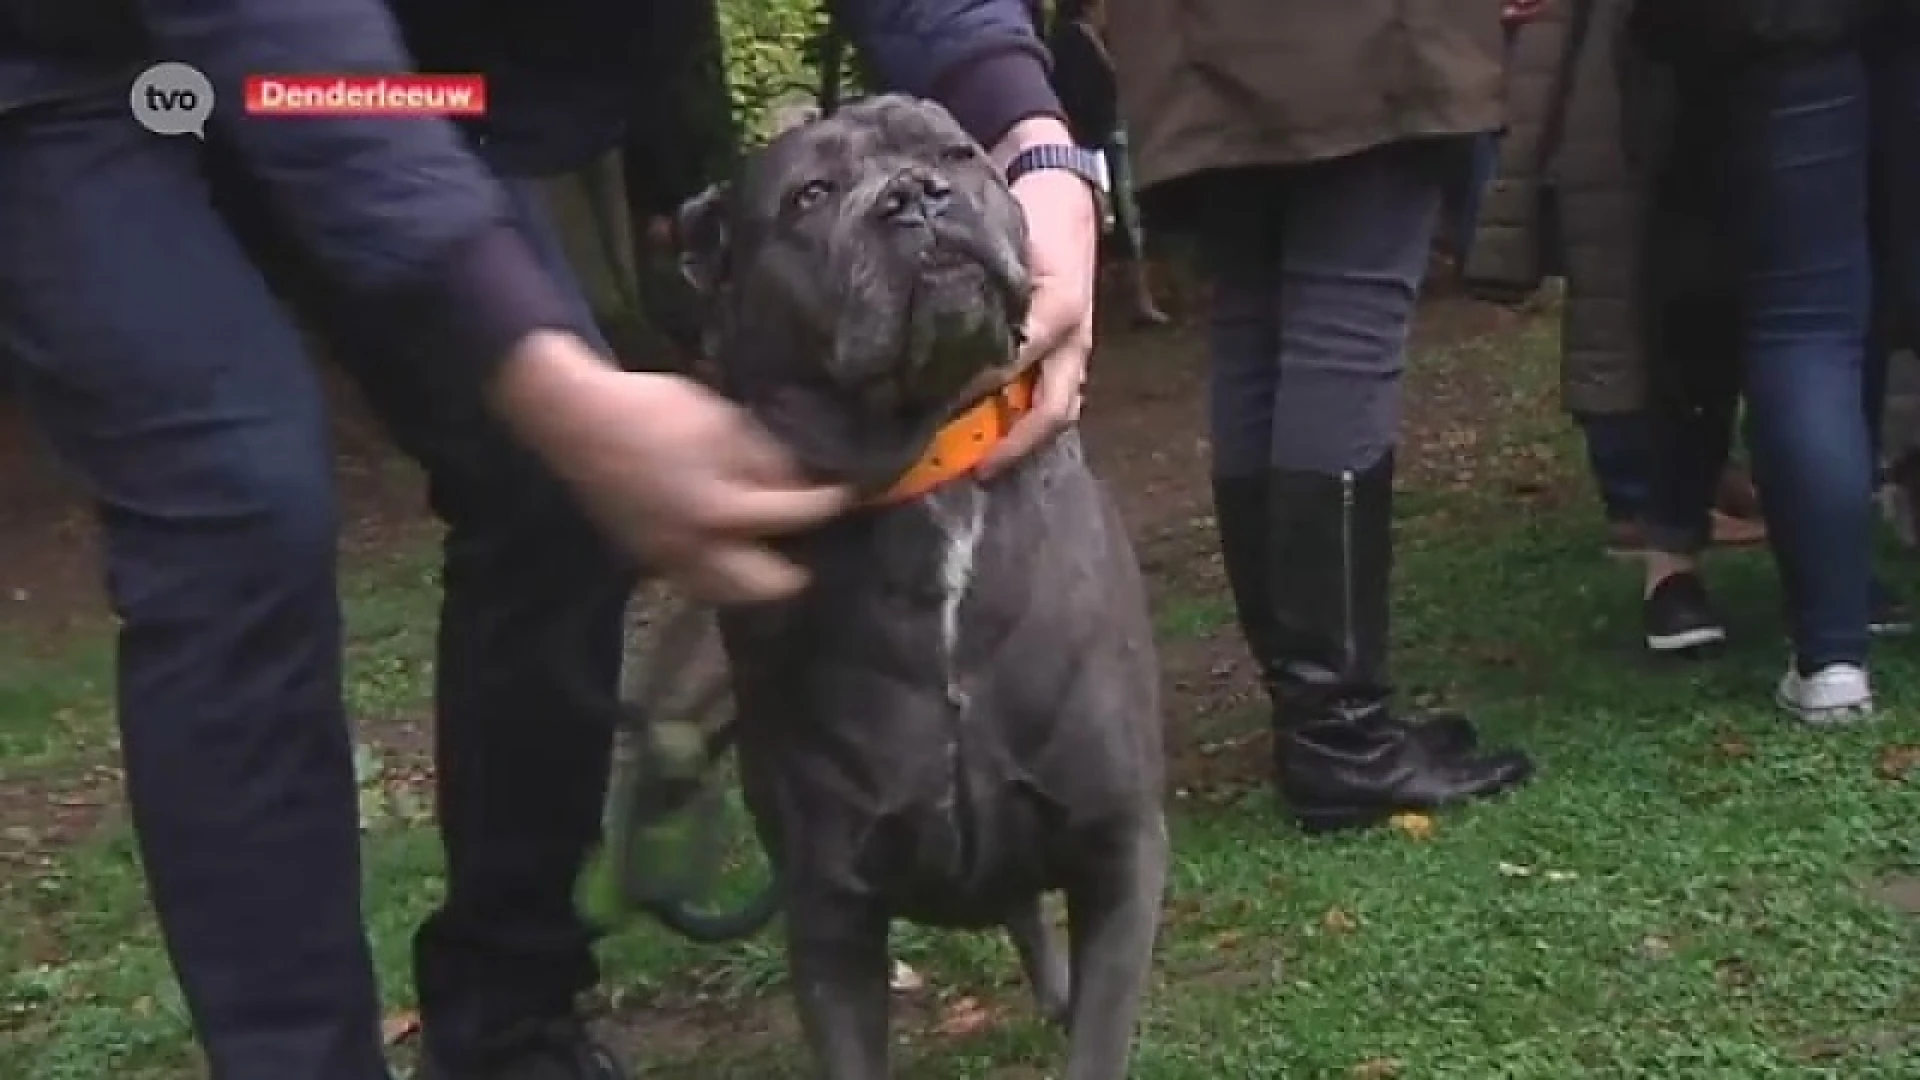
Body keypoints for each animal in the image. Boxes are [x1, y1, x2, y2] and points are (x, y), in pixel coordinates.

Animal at [683, 94, 1175, 1076]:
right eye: (810, 194)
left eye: (955, 152)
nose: (914, 194)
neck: (929, 477)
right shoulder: (829, 912)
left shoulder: (1119, 846)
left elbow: (1098, 1038)